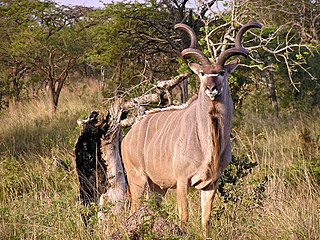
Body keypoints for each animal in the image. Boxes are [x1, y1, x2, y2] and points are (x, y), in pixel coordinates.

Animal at [121, 20, 262, 234]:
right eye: (202, 73)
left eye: (221, 72)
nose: (211, 88)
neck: (207, 143)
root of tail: (127, 136)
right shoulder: (182, 180)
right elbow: (184, 217)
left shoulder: (211, 183)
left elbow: (206, 219)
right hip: (137, 179)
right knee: (134, 209)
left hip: (157, 187)